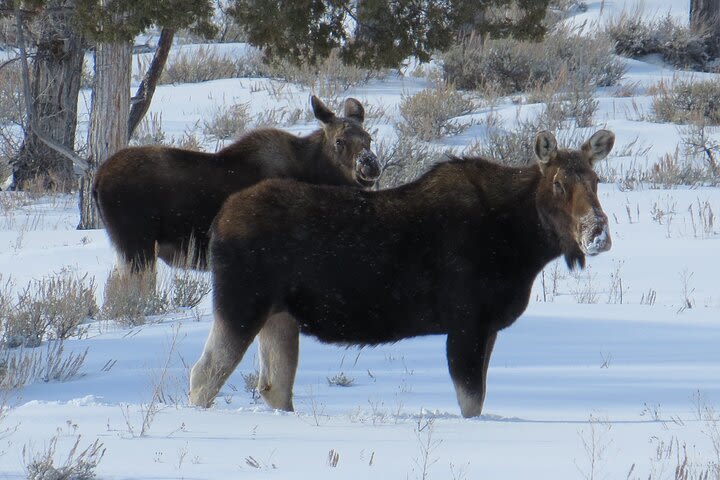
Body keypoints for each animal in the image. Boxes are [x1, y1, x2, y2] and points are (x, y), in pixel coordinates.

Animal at [93, 94, 380, 274]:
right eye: (339, 141)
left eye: (369, 138)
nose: (370, 165)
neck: (314, 174)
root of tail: (96, 181)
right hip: (136, 245)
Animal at [190, 129, 612, 418]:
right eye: (558, 183)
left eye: (596, 181)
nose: (598, 232)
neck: (521, 244)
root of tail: (218, 222)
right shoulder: (467, 324)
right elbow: (471, 402)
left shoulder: (488, 326)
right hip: (240, 305)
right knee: (203, 375)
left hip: (279, 316)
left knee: (273, 387)